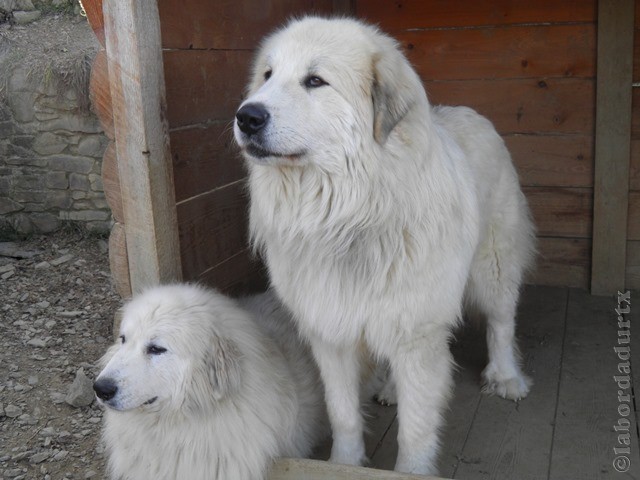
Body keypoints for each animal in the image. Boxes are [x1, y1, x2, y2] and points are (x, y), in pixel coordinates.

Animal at [235, 15, 536, 476]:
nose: (246, 116)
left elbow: (416, 426)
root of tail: (469, 111)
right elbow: (342, 412)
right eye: (267, 75)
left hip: (493, 268)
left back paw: (505, 378)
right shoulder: (332, 331)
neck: (350, 216)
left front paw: (411, 471)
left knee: (501, 323)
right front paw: (343, 464)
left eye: (315, 80)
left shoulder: (418, 331)